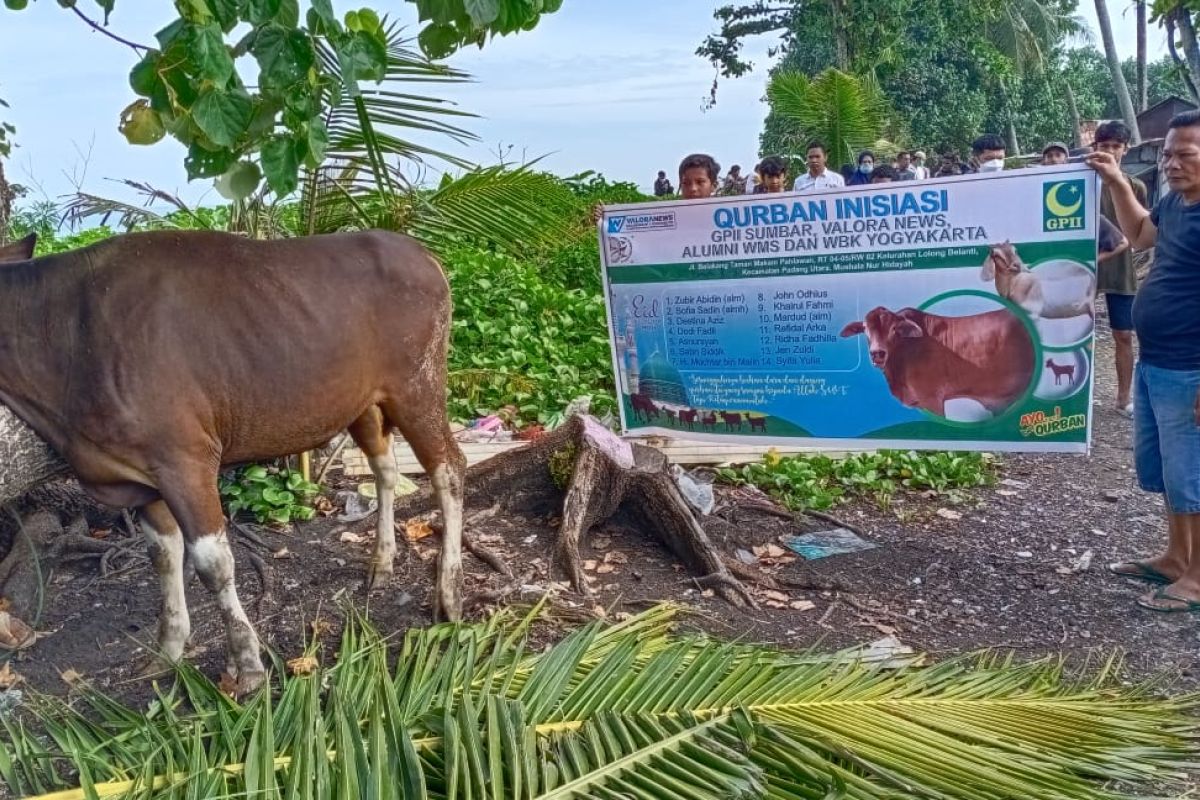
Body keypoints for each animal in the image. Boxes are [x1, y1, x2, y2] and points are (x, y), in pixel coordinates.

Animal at [0, 227, 463, 690]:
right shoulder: (139, 474)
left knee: (450, 469)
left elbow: (212, 562)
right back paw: (382, 562)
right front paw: (167, 650)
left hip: (418, 384)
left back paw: (449, 592)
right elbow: (162, 556)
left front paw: (248, 664)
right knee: (385, 468)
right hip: (362, 402)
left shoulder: (186, 459)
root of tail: (421, 253)